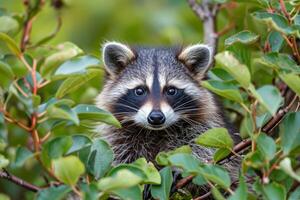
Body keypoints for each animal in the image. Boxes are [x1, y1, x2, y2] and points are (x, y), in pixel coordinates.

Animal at [96, 41, 241, 180]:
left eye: (171, 90)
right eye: (139, 91)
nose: (156, 117)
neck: (155, 132)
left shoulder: (204, 127)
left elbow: (203, 149)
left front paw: (180, 168)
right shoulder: (118, 135)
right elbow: (122, 156)